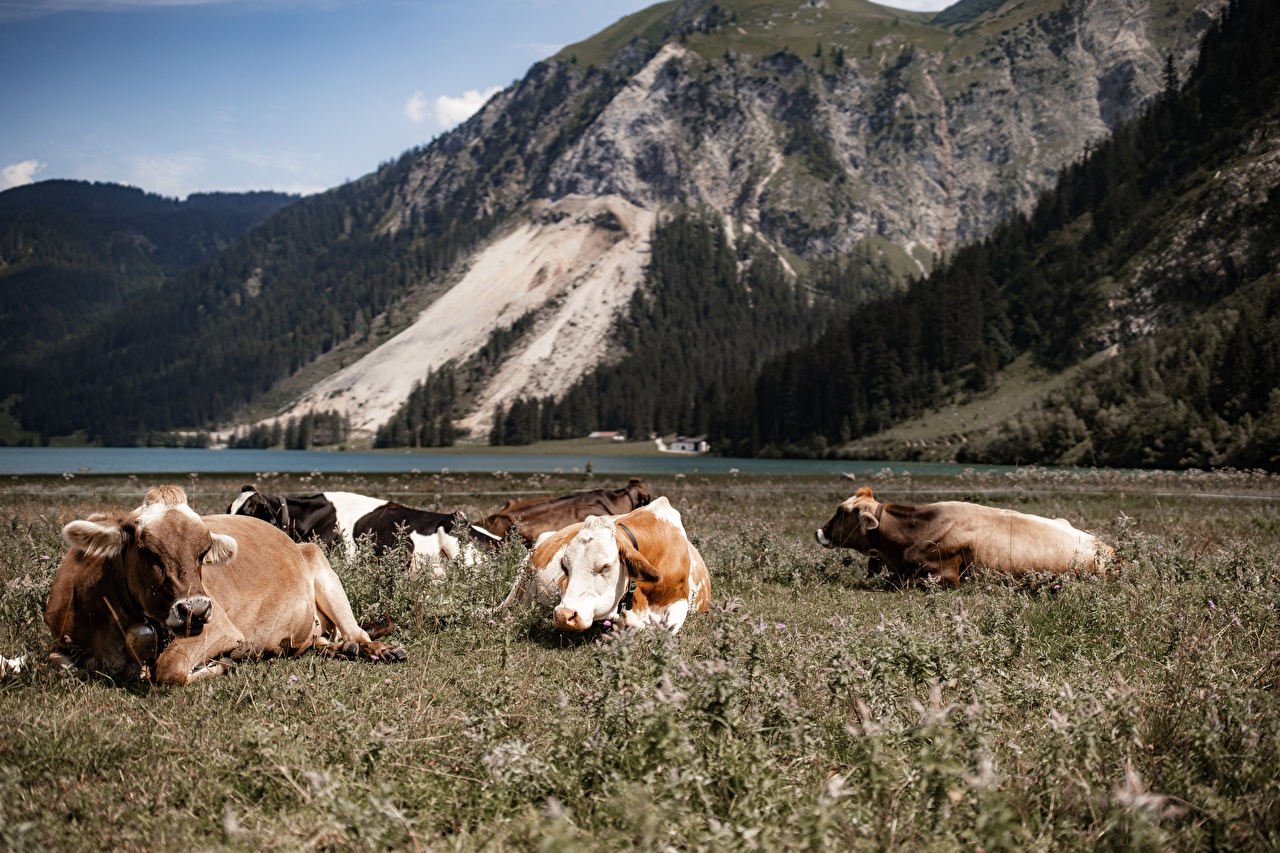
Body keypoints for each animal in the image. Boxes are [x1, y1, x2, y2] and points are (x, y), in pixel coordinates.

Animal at [45, 485, 405, 685]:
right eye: (145, 549)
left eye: (203, 552)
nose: (196, 609)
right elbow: (60, 666)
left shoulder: (220, 628)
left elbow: (169, 667)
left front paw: (221, 664)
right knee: (322, 641)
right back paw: (338, 649)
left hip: (322, 568)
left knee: (356, 632)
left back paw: (378, 649)